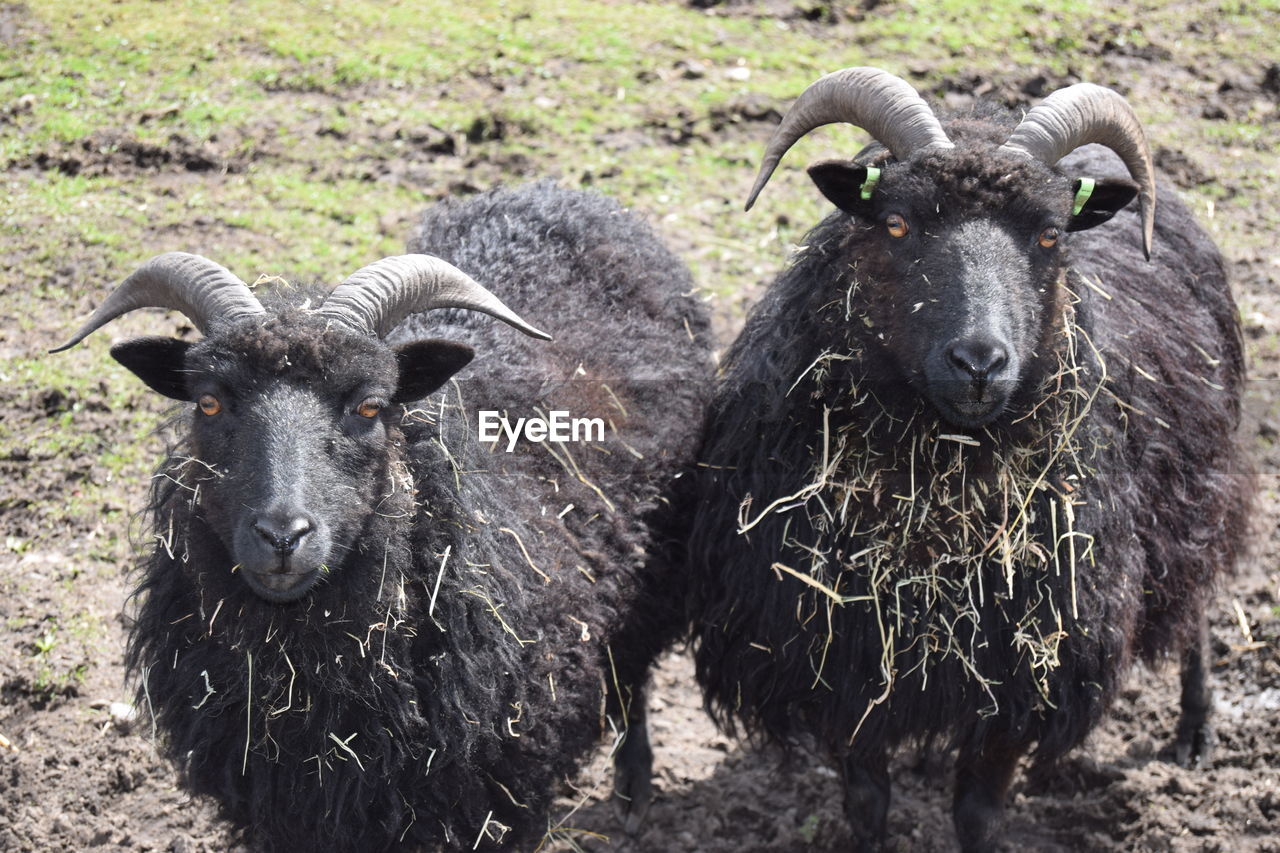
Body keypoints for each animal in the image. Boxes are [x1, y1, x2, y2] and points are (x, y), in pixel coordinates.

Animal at [57, 183, 711, 845]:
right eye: (209, 403)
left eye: (371, 406)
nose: (282, 536)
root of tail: (564, 193)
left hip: (656, 558)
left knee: (633, 669)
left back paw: (633, 788)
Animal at [686, 68, 1254, 850]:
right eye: (896, 224)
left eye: (1050, 235)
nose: (980, 363)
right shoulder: (840, 660)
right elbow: (866, 801)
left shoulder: (1028, 668)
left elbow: (977, 812)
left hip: (1197, 476)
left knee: (1195, 594)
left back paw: (1196, 730)